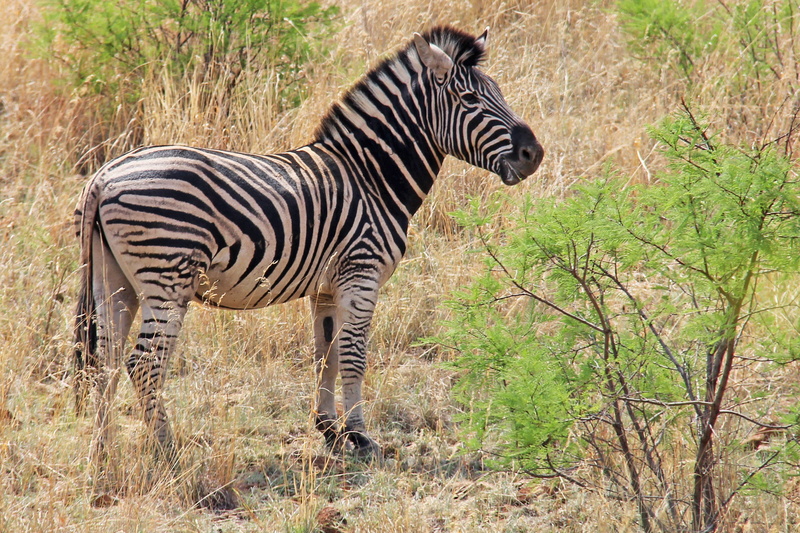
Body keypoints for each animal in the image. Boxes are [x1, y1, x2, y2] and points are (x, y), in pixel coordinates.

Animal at [74, 26, 544, 466]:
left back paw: (103, 452)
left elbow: (326, 355)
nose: (533, 154)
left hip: (113, 280)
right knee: (144, 365)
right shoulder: (361, 274)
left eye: (498, 92)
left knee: (105, 361)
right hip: (166, 277)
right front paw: (360, 437)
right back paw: (168, 452)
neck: (372, 178)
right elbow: (353, 356)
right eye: (469, 98)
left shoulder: (326, 288)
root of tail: (104, 175)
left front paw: (329, 431)